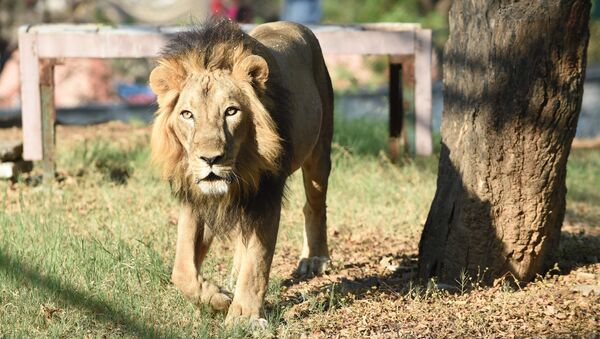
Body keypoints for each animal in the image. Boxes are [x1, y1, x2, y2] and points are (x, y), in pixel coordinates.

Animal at [146, 17, 332, 324]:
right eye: (187, 114)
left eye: (231, 112)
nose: (210, 159)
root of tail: (291, 23)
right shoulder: (195, 197)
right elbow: (181, 270)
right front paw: (218, 298)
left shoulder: (266, 195)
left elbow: (257, 262)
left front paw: (244, 316)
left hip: (319, 151)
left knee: (315, 204)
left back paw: (314, 259)